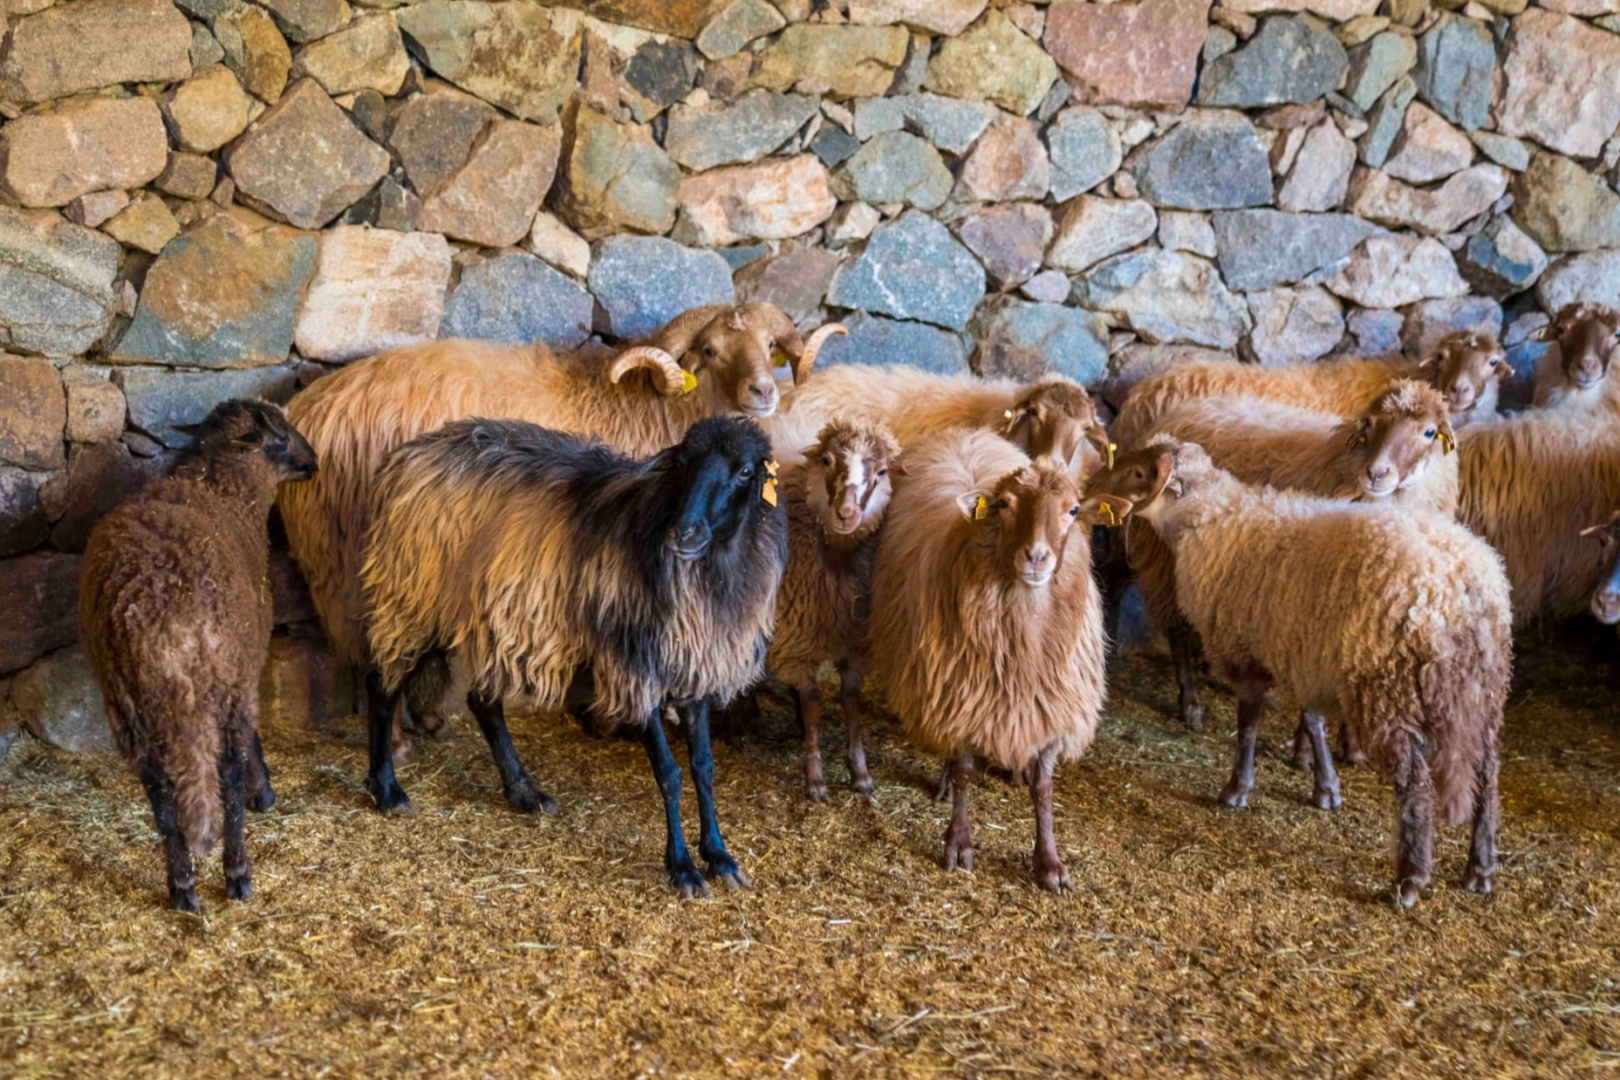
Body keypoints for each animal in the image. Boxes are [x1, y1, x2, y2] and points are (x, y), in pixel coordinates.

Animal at [78, 401, 319, 906]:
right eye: (282, 436)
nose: (315, 461)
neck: (222, 488)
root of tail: (157, 625)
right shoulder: (245, 661)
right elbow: (250, 742)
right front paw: (264, 789)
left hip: (127, 702)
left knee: (161, 792)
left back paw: (182, 884)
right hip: (218, 678)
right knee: (225, 773)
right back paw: (237, 873)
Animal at [359, 417, 784, 900]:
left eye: (745, 472)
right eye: (683, 463)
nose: (684, 534)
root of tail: (405, 455)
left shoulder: (695, 667)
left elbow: (704, 769)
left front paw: (720, 857)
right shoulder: (634, 667)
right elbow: (670, 773)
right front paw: (682, 867)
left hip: (490, 616)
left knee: (483, 703)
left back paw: (524, 793)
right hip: (412, 596)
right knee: (381, 684)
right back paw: (388, 791)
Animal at [874, 427, 1127, 893]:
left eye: (1073, 510)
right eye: (1005, 505)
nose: (1037, 557)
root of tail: (965, 434)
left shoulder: (1052, 708)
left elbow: (1044, 788)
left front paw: (1050, 863)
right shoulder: (957, 692)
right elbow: (964, 771)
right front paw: (959, 842)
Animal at [1088, 433, 1516, 906]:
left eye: (1138, 473)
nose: (1090, 485)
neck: (1215, 521)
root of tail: (1470, 585)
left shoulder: (1249, 651)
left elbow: (1248, 724)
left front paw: (1237, 789)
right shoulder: (1307, 657)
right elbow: (1313, 721)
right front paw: (1326, 789)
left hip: (1390, 690)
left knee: (1416, 785)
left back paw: (1411, 879)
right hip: (1483, 691)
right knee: (1488, 777)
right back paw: (1480, 869)